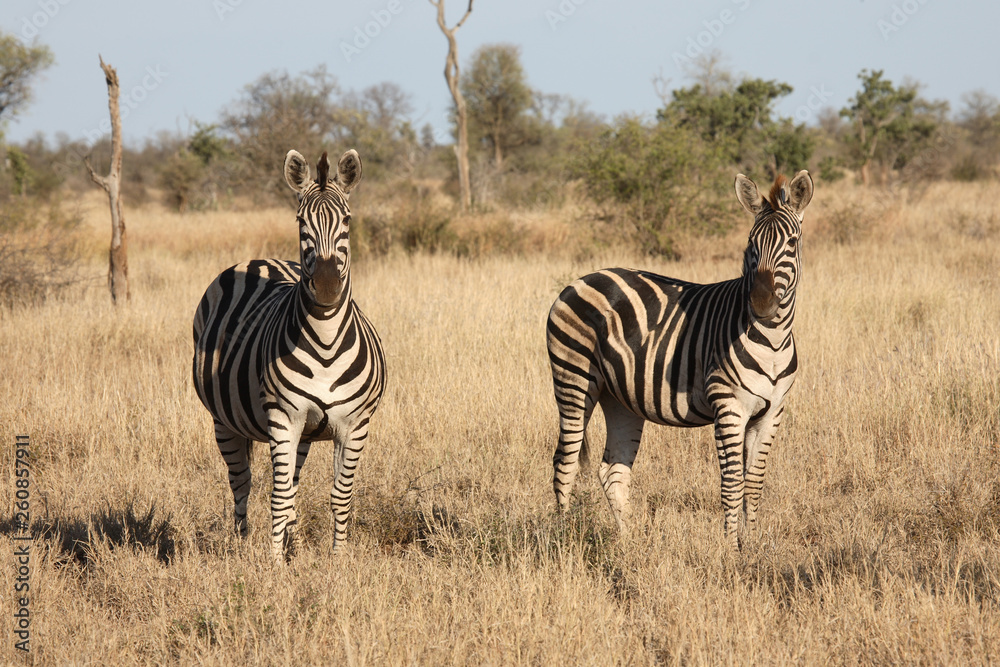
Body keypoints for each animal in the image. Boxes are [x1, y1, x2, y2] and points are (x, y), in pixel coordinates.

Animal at [192, 149, 385, 564]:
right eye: (300, 221)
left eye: (347, 220)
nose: (327, 287)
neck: (326, 342)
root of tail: (258, 259)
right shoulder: (283, 418)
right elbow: (278, 497)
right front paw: (274, 565)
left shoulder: (355, 425)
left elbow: (340, 496)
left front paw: (337, 561)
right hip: (224, 421)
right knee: (241, 484)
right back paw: (243, 544)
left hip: (306, 433)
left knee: (292, 483)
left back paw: (292, 543)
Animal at [546, 171, 813, 549]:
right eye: (751, 245)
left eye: (791, 243)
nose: (761, 304)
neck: (772, 341)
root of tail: (581, 278)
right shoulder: (728, 405)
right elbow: (732, 483)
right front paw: (729, 550)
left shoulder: (772, 412)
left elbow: (754, 484)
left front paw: (753, 546)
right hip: (574, 379)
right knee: (565, 461)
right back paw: (563, 539)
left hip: (619, 397)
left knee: (612, 470)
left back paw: (629, 545)